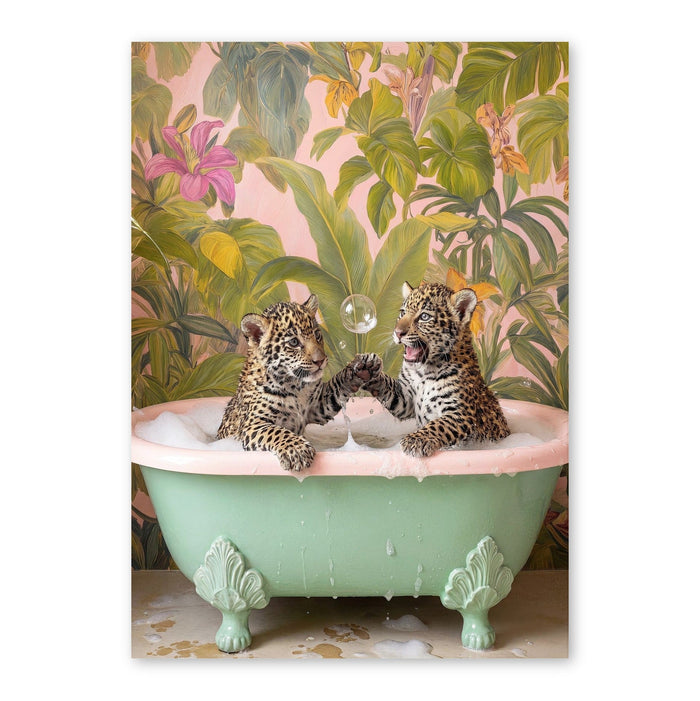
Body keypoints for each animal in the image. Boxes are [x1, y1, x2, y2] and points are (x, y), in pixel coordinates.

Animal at [216, 294, 367, 471]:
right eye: (294, 342)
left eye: (317, 335)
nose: (320, 360)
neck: (295, 386)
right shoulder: (252, 424)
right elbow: (276, 431)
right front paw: (297, 450)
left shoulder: (317, 407)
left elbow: (335, 387)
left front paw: (356, 371)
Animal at [352, 281, 510, 457]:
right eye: (402, 313)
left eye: (424, 317)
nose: (398, 333)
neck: (424, 372)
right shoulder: (406, 400)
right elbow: (389, 388)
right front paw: (369, 369)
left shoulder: (461, 413)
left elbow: (438, 425)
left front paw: (415, 440)